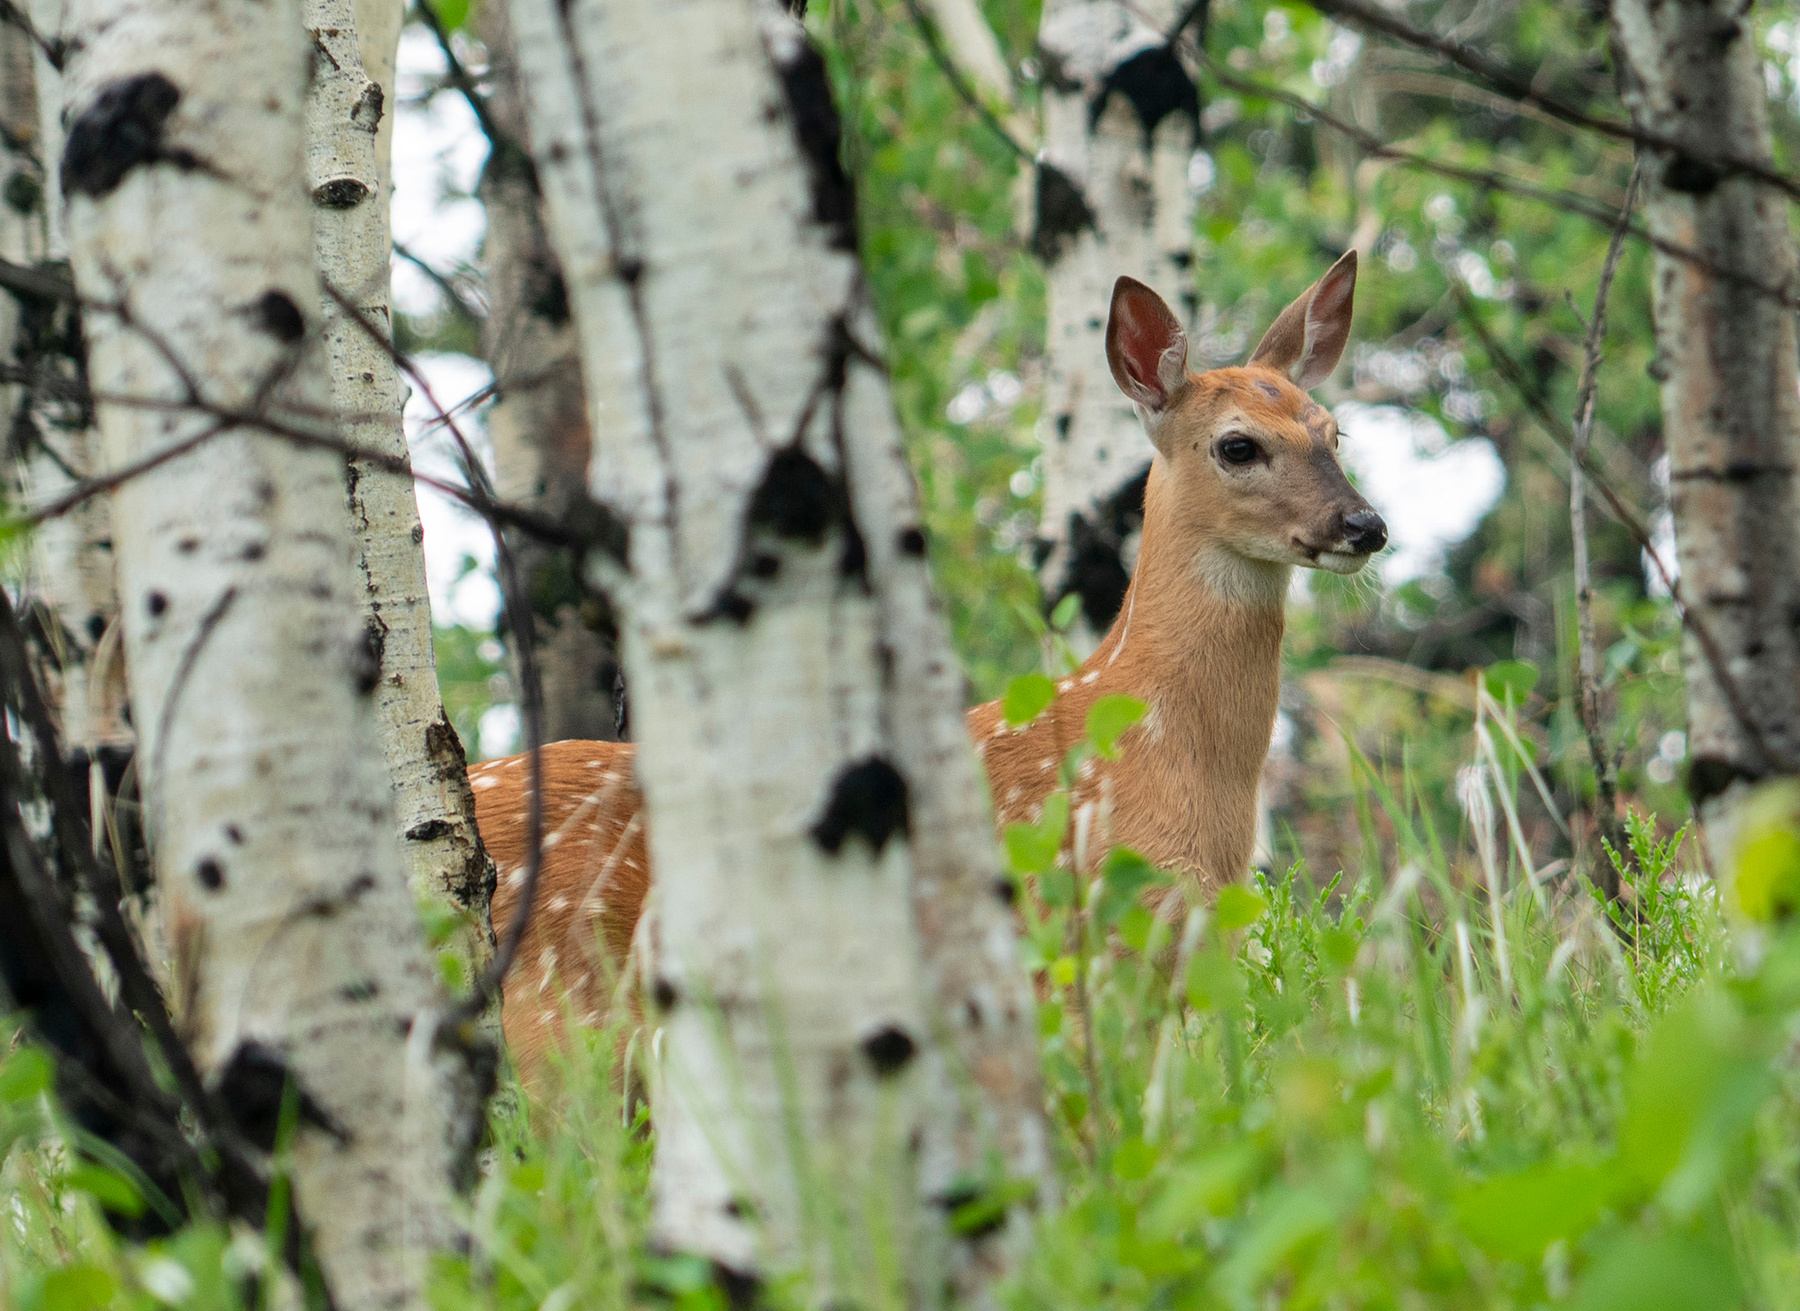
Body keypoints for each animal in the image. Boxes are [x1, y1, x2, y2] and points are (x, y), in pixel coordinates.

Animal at [472, 252, 1387, 1082]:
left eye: (1334, 432)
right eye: (1237, 445)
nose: (1365, 524)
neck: (1160, 749)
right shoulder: (1070, 940)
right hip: (560, 1019)